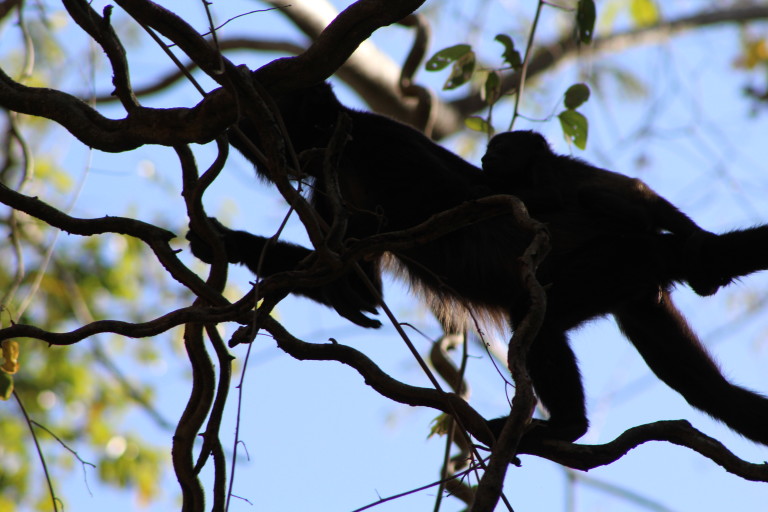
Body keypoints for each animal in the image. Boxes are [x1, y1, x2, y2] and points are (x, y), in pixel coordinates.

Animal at [189, 83, 768, 448]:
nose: (242, 132)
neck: (343, 144)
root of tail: (650, 244)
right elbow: (356, 284)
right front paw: (223, 242)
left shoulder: (380, 150)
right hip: (637, 286)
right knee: (704, 390)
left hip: (607, 264)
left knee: (537, 317)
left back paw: (566, 427)